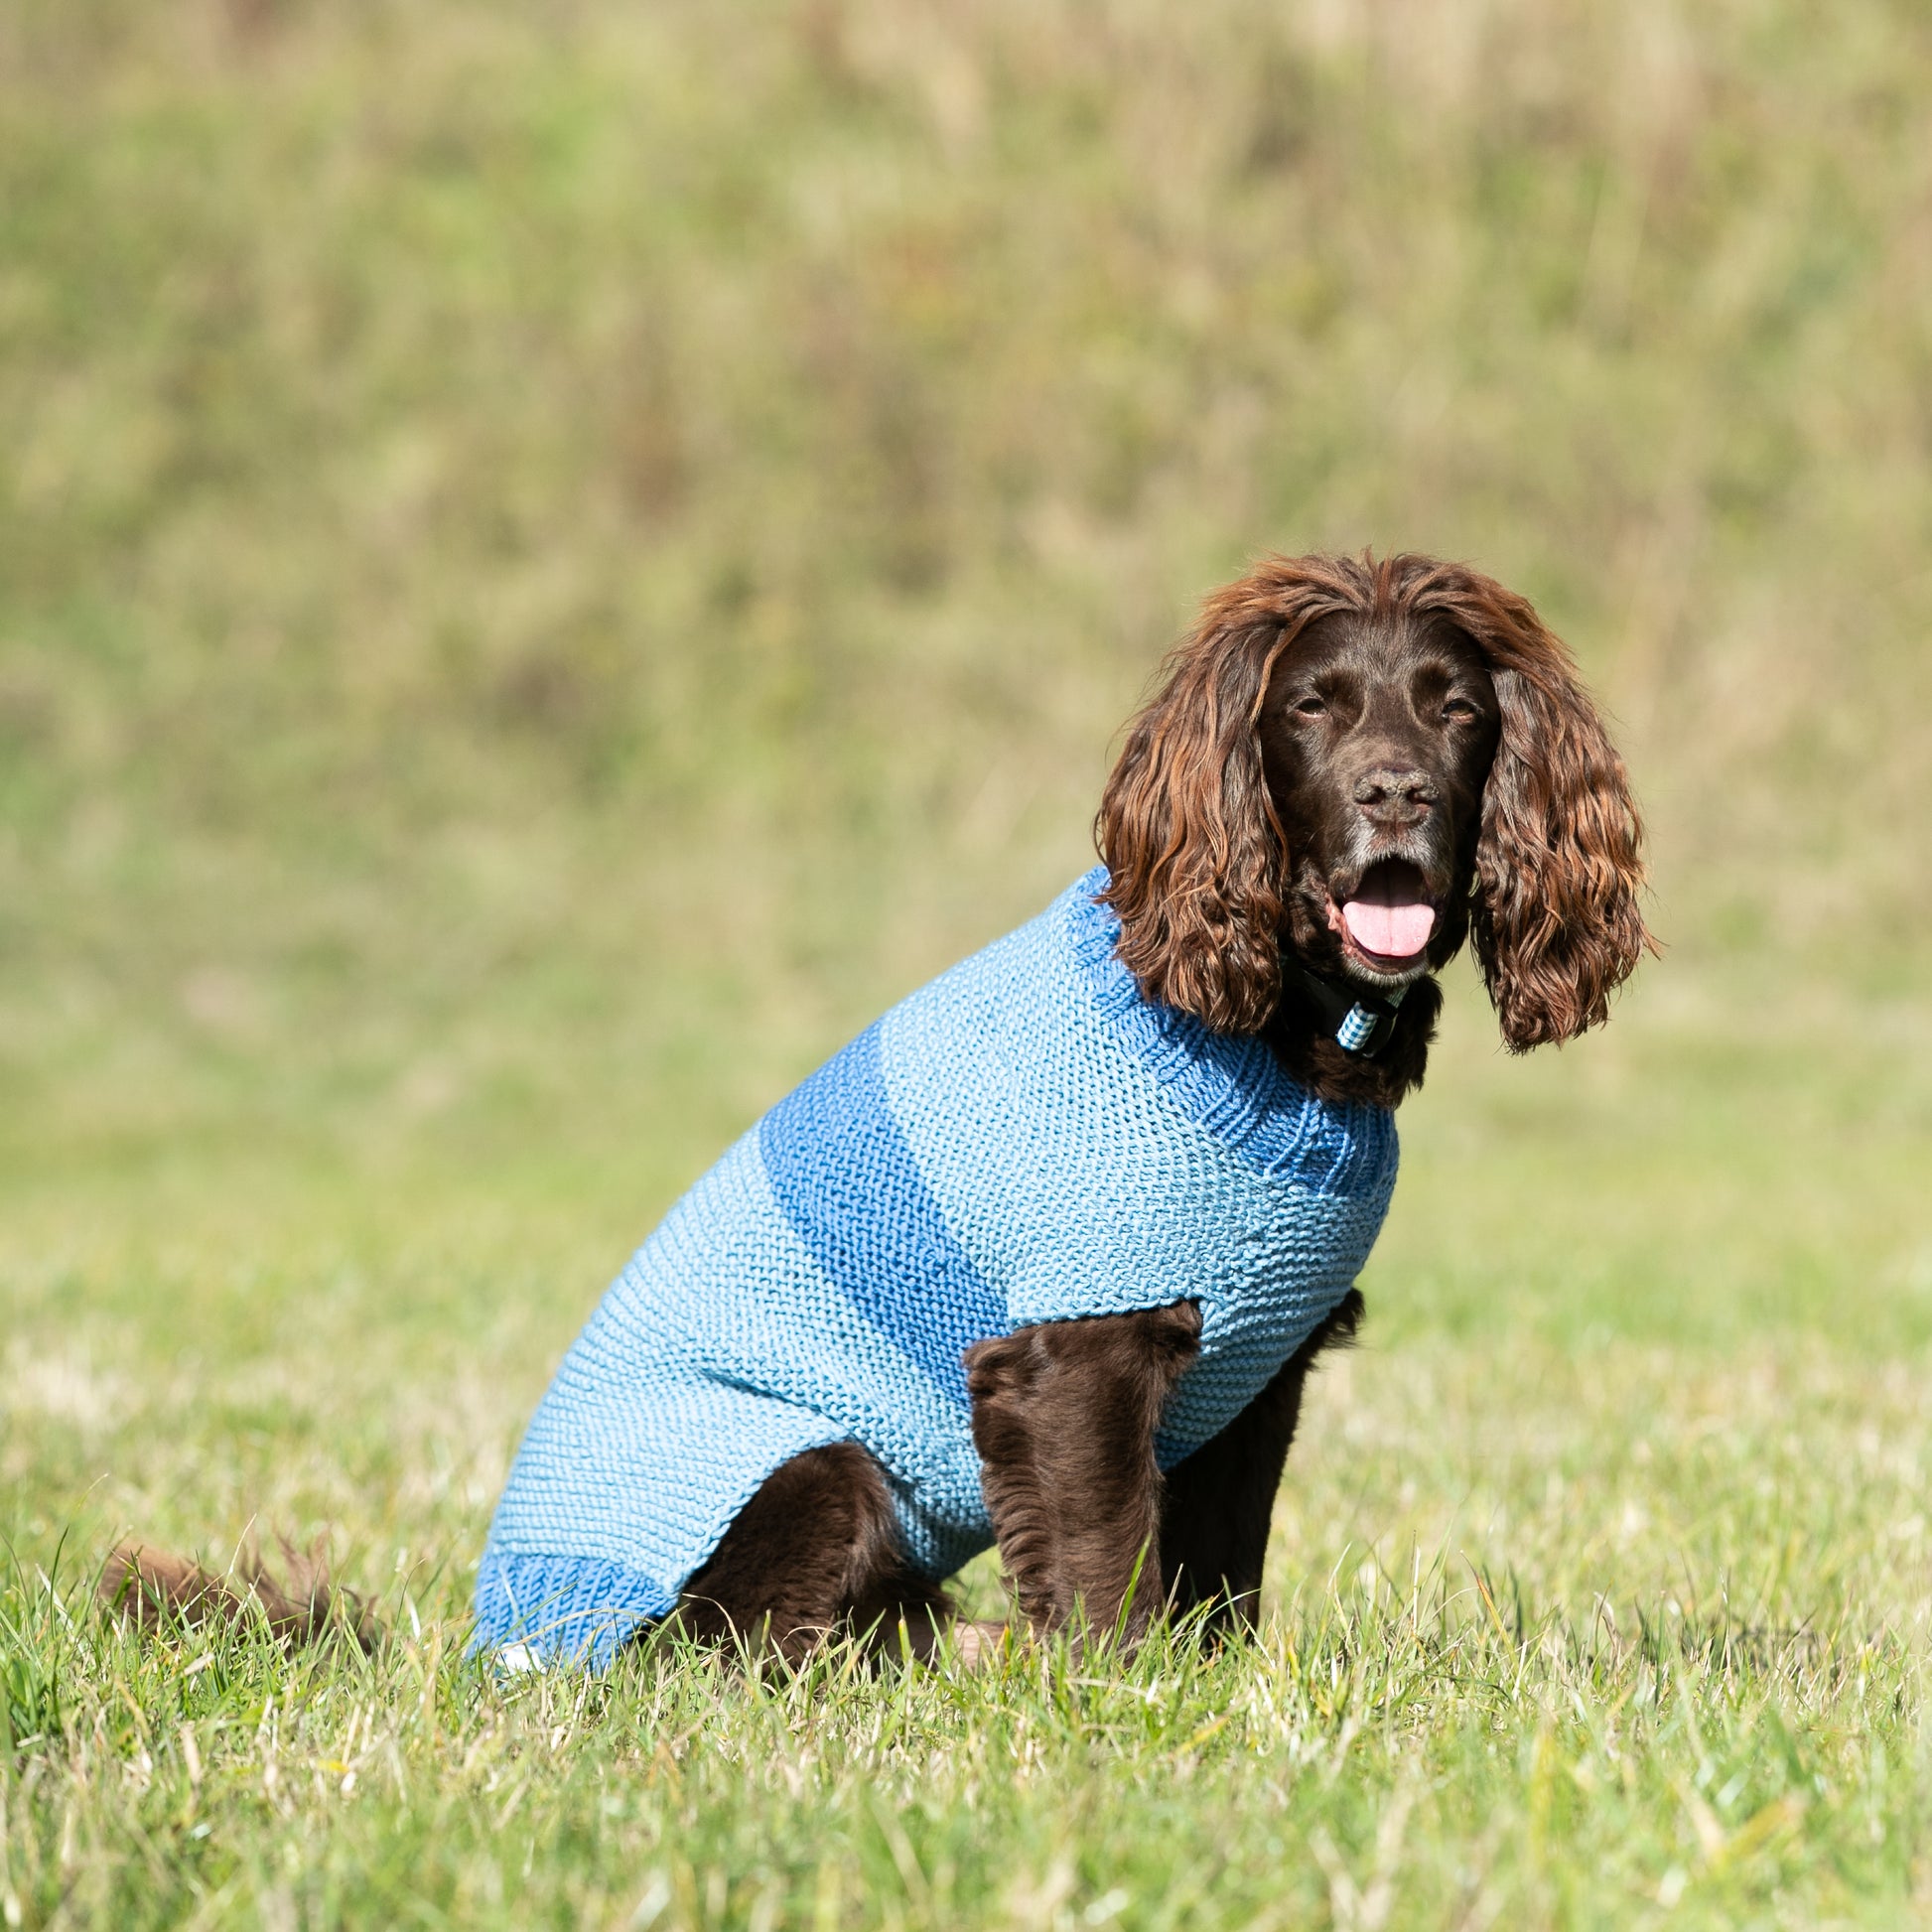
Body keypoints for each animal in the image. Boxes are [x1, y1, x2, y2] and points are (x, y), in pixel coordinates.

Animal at [101, 556, 1645, 1661]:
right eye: (1311, 706)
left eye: (1454, 706)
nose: (1395, 795)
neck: (1264, 1028)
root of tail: (492, 1638)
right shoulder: (1073, 1353)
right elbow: (1108, 1569)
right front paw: (1122, 1709)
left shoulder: (1252, 1378)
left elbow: (1221, 1580)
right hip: (815, 1465)